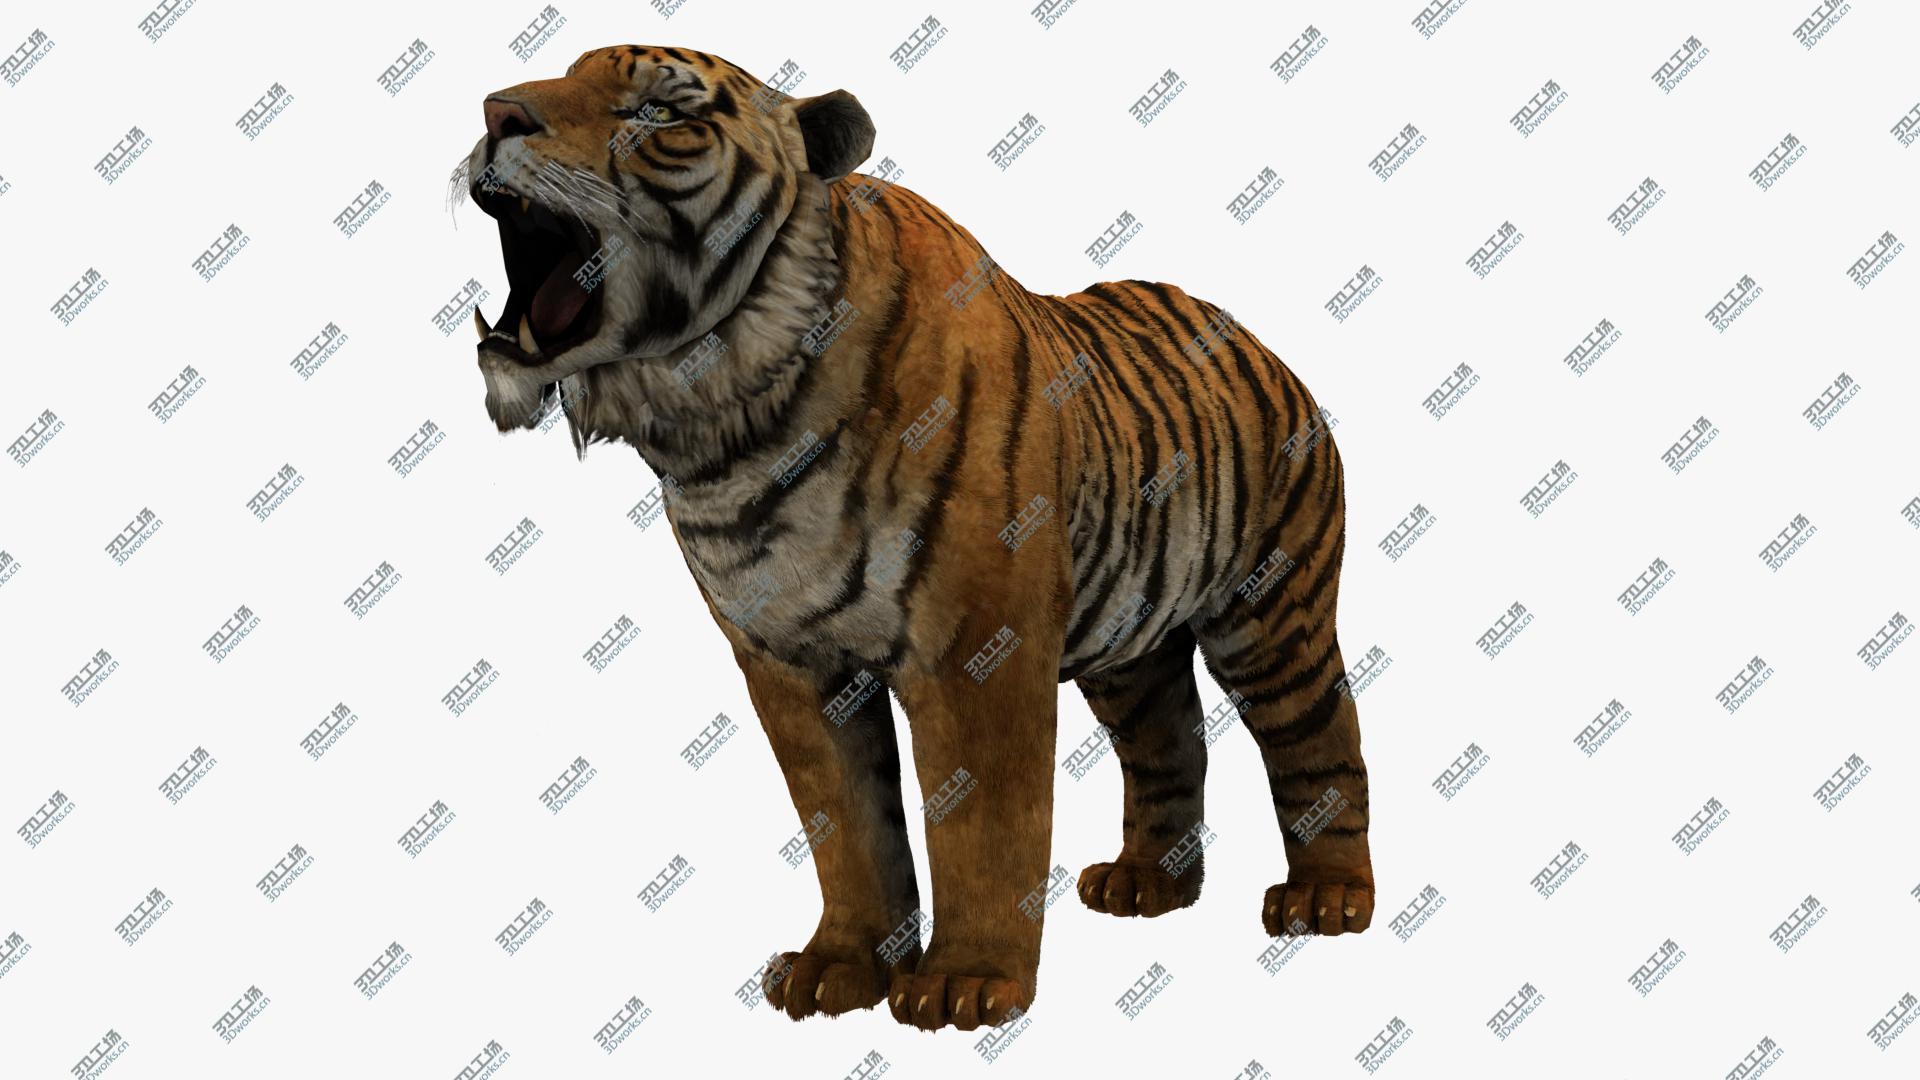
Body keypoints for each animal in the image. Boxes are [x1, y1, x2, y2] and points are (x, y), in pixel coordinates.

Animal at [458, 44, 1375, 1033]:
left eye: (661, 114)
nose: (496, 113)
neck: (728, 423)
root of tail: (1243, 330)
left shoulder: (978, 649)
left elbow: (982, 823)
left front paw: (967, 984)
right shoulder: (789, 661)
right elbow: (847, 826)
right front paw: (839, 969)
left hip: (1271, 613)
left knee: (1320, 738)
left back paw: (1328, 900)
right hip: (1130, 645)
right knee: (1171, 739)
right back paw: (1147, 887)